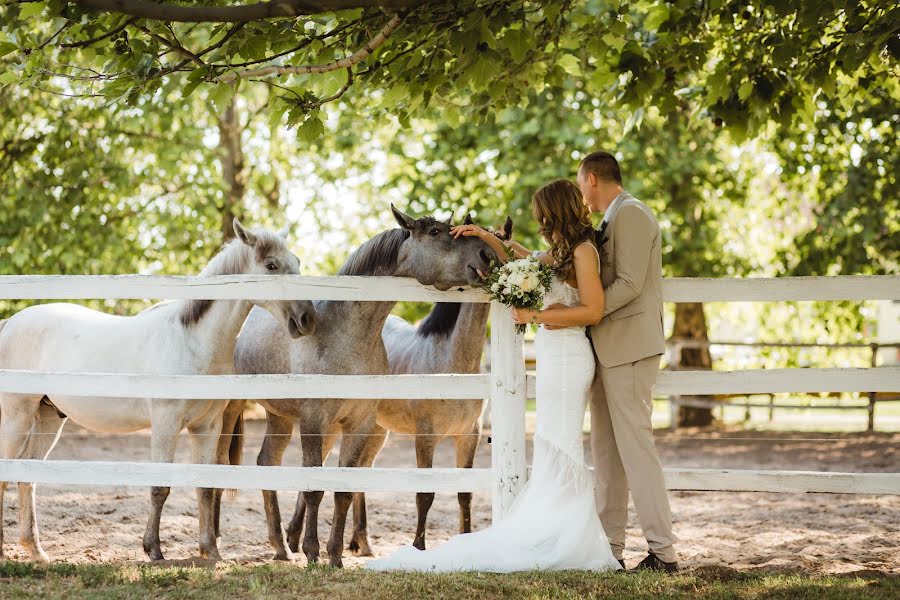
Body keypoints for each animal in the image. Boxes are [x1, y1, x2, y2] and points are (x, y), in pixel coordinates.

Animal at [0, 219, 316, 564]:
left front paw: (211, 551)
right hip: (17, 416)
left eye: (297, 262)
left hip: (49, 417)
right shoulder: (166, 421)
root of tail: (10, 323)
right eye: (271, 265)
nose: (307, 319)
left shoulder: (207, 426)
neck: (193, 341)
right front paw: (153, 549)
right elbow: (159, 487)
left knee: (27, 475)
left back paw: (37, 551)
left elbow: (206, 487)